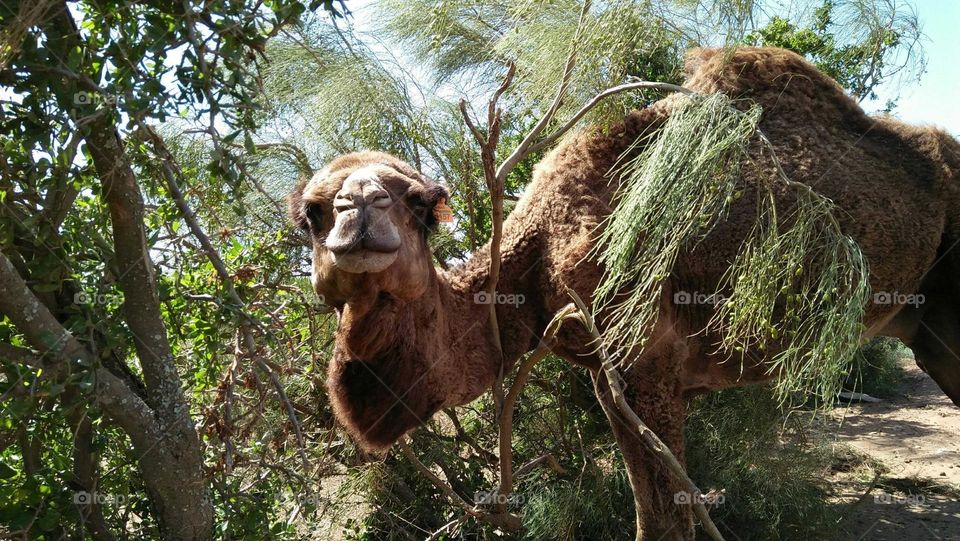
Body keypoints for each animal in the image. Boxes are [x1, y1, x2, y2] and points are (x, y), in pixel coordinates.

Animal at [288, 48, 960, 536]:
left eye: (421, 205)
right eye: (310, 214)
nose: (360, 207)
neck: (539, 254)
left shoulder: (645, 359)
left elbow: (666, 523)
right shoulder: (606, 377)